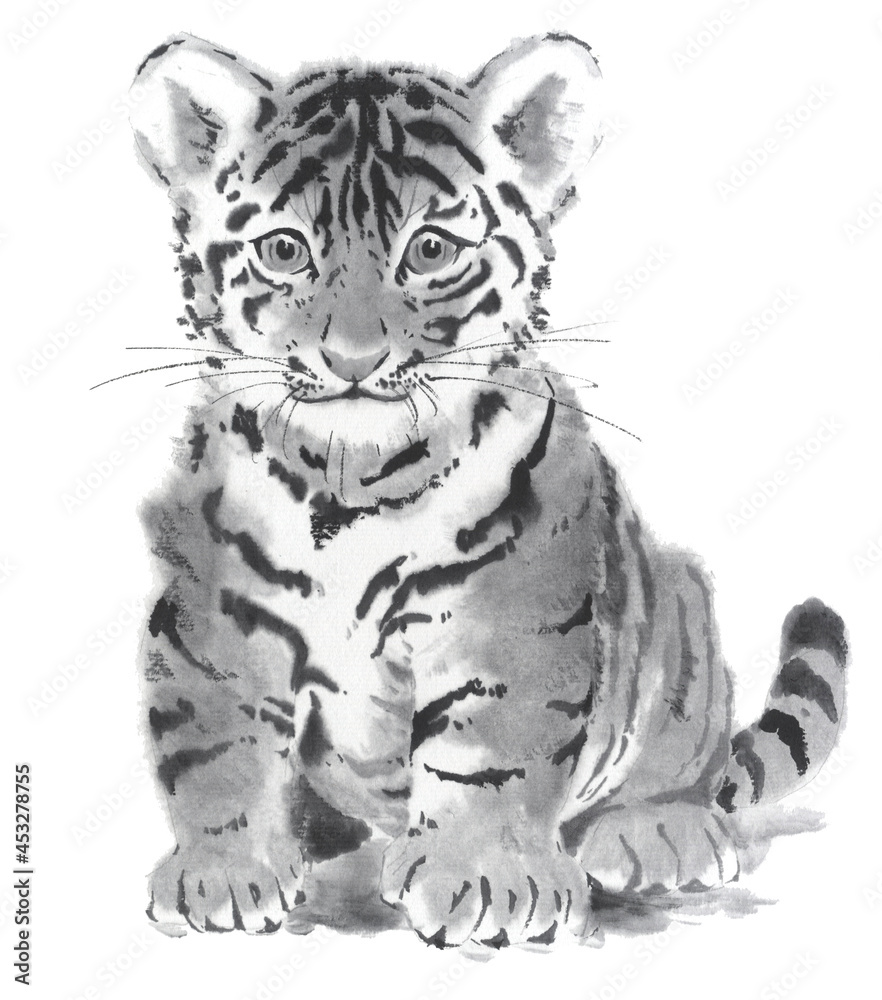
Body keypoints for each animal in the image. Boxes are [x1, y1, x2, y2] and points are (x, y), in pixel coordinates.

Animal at [127, 31, 848, 948]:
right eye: (285, 250)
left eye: (431, 250)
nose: (353, 360)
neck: (348, 486)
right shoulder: (211, 618)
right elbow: (213, 748)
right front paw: (223, 872)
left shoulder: (510, 614)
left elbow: (488, 750)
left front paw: (485, 881)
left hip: (683, 616)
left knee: (686, 762)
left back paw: (660, 832)